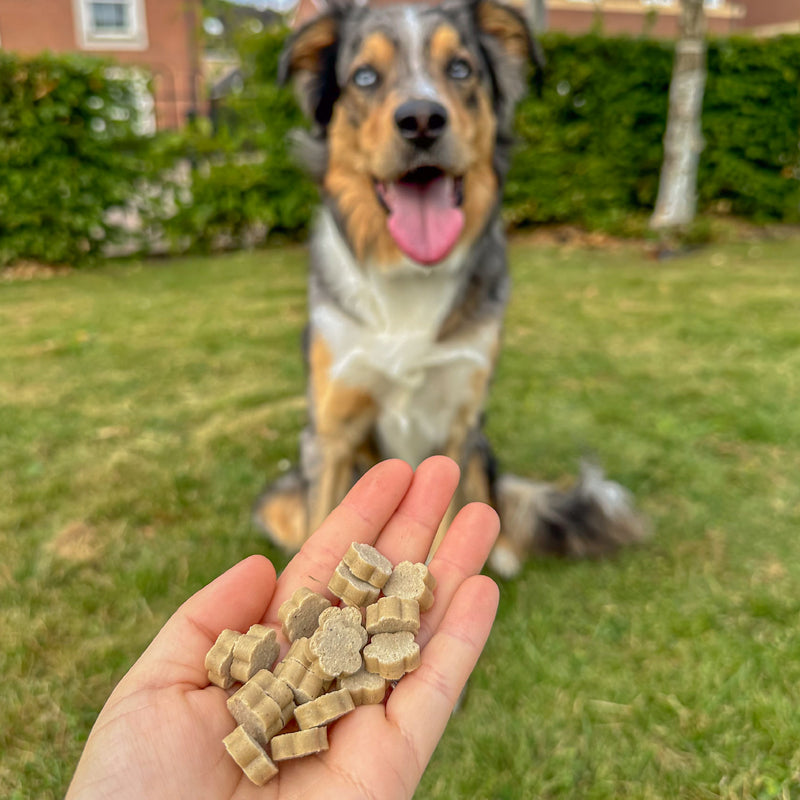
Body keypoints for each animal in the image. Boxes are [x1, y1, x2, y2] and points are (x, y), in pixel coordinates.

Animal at [253, 0, 648, 576]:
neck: (411, 275)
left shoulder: (457, 426)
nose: (421, 119)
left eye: (461, 69)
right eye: (364, 77)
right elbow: (325, 515)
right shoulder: (332, 431)